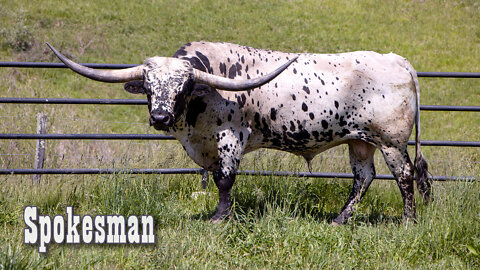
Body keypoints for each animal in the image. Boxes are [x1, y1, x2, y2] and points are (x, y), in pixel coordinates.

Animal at [47, 41, 432, 225]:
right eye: (148, 87)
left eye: (183, 86)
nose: (159, 116)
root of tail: (398, 60)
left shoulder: (231, 136)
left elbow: (224, 178)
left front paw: (220, 216)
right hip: (360, 141)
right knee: (363, 178)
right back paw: (339, 220)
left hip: (390, 141)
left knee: (404, 176)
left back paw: (408, 221)